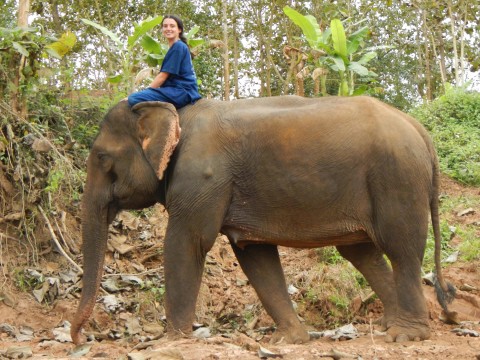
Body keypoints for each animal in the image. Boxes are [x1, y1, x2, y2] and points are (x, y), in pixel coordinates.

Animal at [70, 95, 454, 346]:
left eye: (101, 157)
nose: (79, 339)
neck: (176, 111)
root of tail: (421, 131)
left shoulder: (202, 178)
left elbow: (188, 242)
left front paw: (170, 342)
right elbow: (254, 253)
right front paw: (289, 340)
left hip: (397, 179)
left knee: (401, 248)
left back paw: (406, 335)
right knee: (363, 253)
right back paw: (391, 324)